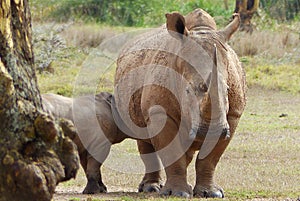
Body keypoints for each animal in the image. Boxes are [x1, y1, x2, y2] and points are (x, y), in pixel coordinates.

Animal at [113, 8, 245, 198]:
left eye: (227, 90)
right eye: (187, 91)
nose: (210, 131)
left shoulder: (233, 114)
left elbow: (210, 158)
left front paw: (211, 193)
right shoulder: (160, 112)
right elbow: (172, 152)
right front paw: (177, 193)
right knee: (144, 137)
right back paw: (151, 188)